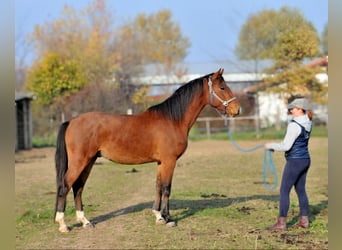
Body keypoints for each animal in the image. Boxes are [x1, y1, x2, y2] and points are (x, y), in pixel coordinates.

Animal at [54, 68, 240, 232]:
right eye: (222, 88)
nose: (237, 109)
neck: (172, 120)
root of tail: (71, 121)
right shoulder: (169, 161)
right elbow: (166, 188)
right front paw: (168, 218)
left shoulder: (161, 162)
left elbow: (158, 186)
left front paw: (158, 216)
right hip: (80, 161)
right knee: (65, 186)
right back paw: (63, 224)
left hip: (89, 161)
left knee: (78, 188)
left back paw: (85, 222)